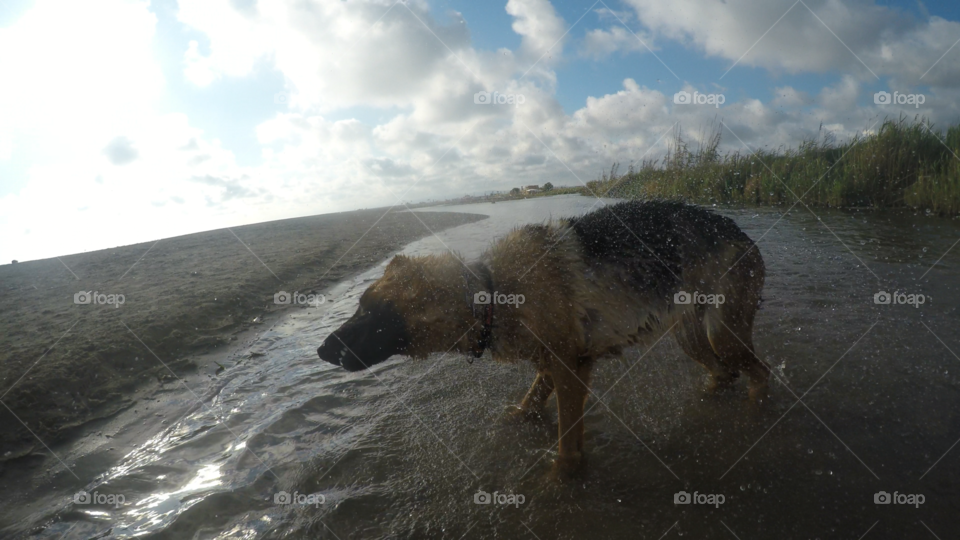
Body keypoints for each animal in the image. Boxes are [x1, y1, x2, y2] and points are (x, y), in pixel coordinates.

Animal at [318, 200, 768, 474]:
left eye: (371, 315)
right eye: (359, 307)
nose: (321, 350)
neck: (493, 291)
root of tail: (742, 234)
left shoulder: (572, 370)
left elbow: (567, 447)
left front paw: (562, 482)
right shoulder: (550, 363)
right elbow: (530, 401)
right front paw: (515, 423)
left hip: (722, 334)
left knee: (760, 375)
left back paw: (756, 416)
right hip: (691, 337)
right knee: (726, 373)